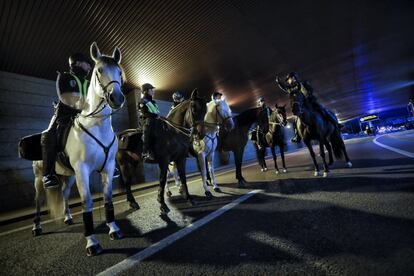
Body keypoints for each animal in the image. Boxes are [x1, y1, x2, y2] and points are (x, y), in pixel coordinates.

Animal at [32, 42, 124, 256]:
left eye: (119, 72)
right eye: (99, 71)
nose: (117, 97)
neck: (97, 126)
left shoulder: (107, 168)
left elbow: (108, 199)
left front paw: (113, 229)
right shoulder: (83, 170)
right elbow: (87, 202)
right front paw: (92, 242)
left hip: (68, 175)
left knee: (65, 194)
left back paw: (67, 217)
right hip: (39, 178)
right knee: (38, 201)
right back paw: (37, 226)